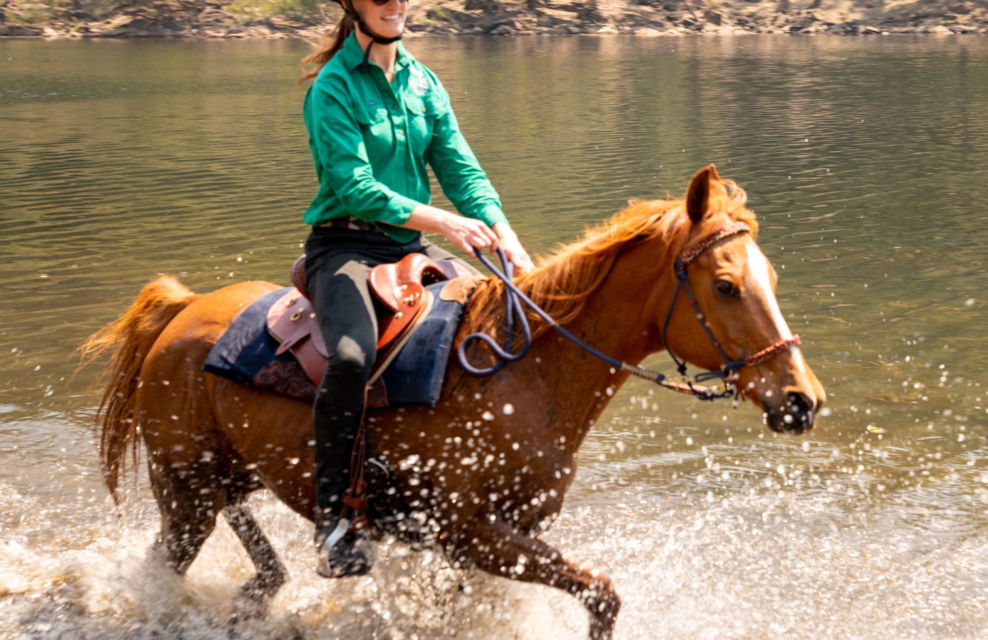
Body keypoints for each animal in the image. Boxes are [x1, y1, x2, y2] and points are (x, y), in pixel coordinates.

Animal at [82, 166, 825, 640]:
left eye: (770, 275)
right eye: (725, 285)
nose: (803, 400)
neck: (528, 376)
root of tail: (181, 310)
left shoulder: (494, 539)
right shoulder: (473, 533)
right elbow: (602, 593)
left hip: (223, 479)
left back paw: (258, 592)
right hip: (185, 486)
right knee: (163, 564)